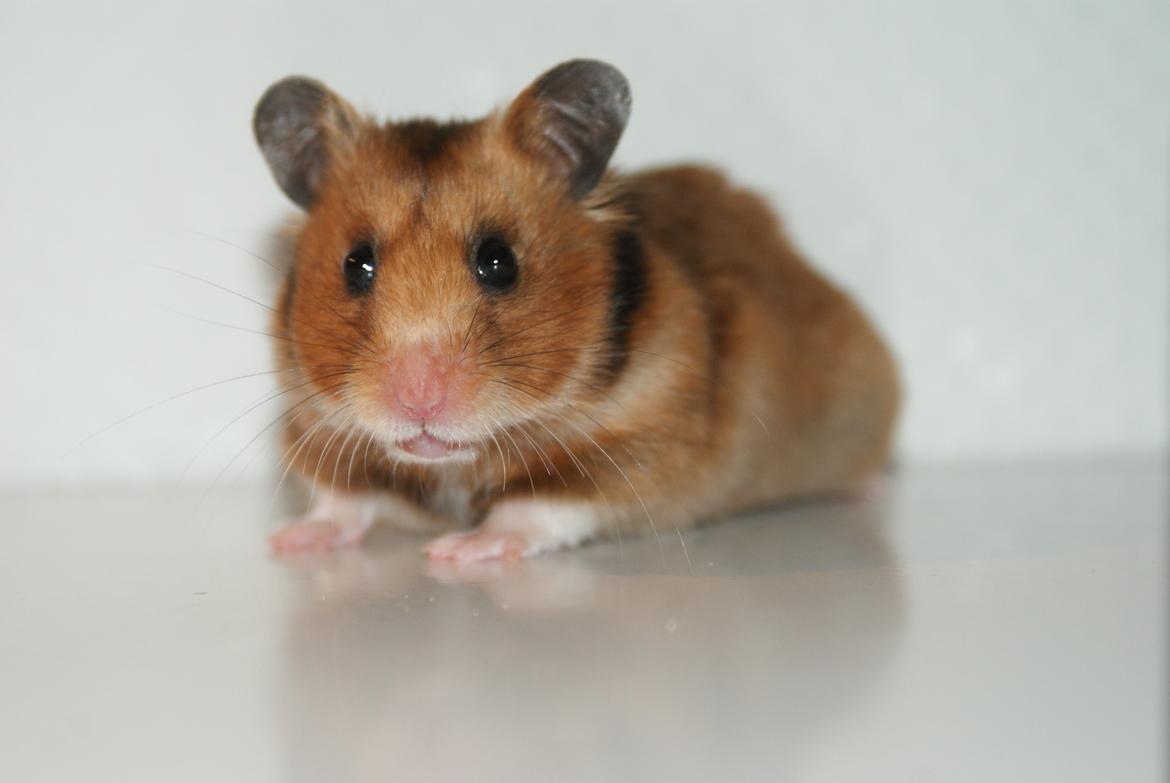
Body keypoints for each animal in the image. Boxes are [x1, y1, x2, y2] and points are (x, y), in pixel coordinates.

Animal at [252, 59, 900, 562]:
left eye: (499, 261)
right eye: (355, 265)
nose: (418, 401)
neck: (455, 465)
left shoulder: (640, 453)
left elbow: (536, 507)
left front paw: (457, 551)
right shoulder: (315, 428)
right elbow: (345, 501)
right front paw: (290, 539)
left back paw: (871, 489)